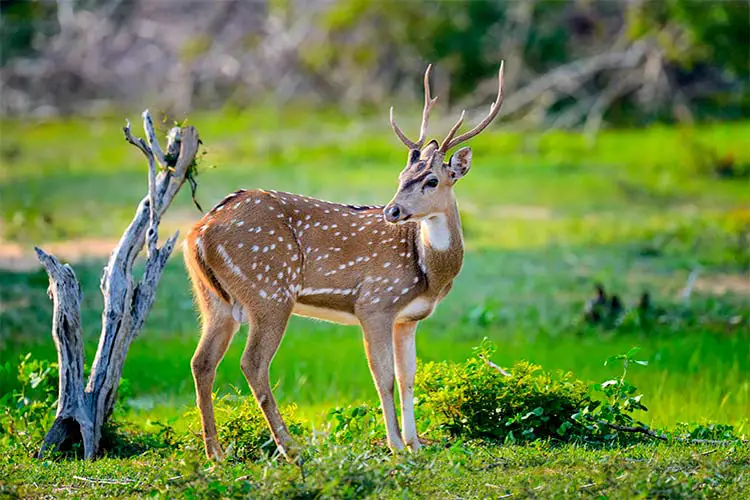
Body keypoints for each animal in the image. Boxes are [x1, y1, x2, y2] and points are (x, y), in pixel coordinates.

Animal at [182, 60, 506, 462]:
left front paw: (415, 444)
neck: (428, 272)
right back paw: (290, 447)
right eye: (402, 177)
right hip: (269, 291)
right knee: (253, 363)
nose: (391, 211)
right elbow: (383, 377)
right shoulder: (375, 303)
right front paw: (395, 444)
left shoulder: (408, 318)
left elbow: (408, 377)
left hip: (213, 299)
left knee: (201, 362)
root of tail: (198, 233)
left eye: (431, 180)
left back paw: (216, 454)